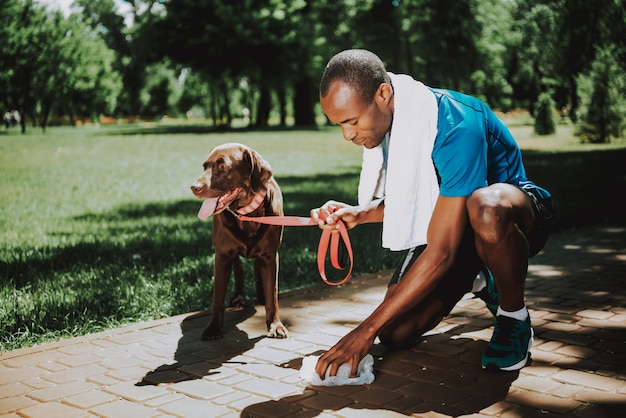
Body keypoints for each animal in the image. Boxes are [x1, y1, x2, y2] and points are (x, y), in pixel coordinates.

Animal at [190, 143, 288, 340]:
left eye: (222, 166)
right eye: (204, 166)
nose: (194, 187)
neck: (248, 214)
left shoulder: (270, 255)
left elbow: (272, 294)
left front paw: (275, 325)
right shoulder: (222, 256)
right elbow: (217, 298)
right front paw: (213, 328)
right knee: (239, 269)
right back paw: (239, 298)